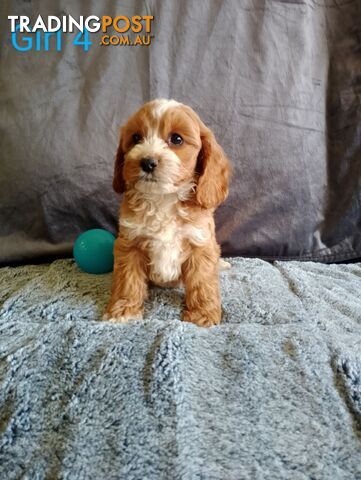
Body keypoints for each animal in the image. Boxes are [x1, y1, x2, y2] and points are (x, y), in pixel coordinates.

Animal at [102, 99, 229, 328]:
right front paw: (123, 311)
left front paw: (202, 315)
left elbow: (202, 282)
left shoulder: (200, 243)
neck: (163, 199)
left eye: (177, 139)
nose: (147, 162)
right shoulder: (130, 243)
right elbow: (127, 280)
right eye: (136, 138)